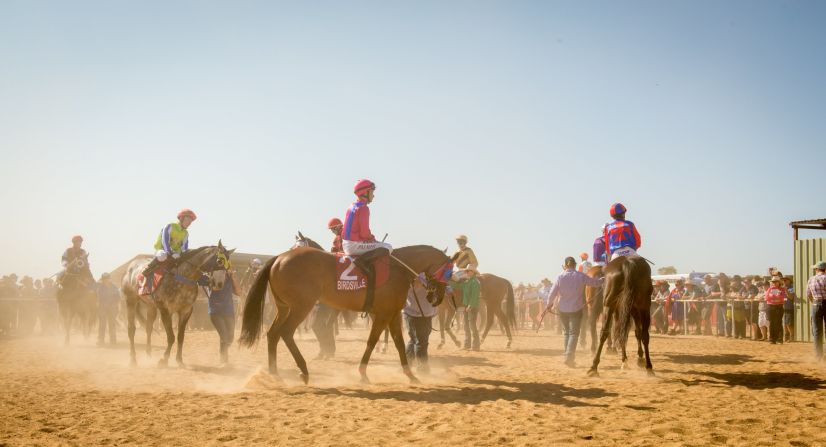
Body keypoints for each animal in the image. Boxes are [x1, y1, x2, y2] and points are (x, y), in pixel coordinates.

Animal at [238, 245, 450, 384]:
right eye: (449, 272)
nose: (438, 298)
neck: (399, 269)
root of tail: (279, 258)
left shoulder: (393, 314)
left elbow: (398, 342)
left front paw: (410, 374)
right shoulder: (382, 314)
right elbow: (372, 341)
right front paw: (363, 373)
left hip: (284, 308)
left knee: (273, 334)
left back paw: (274, 373)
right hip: (301, 307)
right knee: (286, 332)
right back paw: (304, 370)